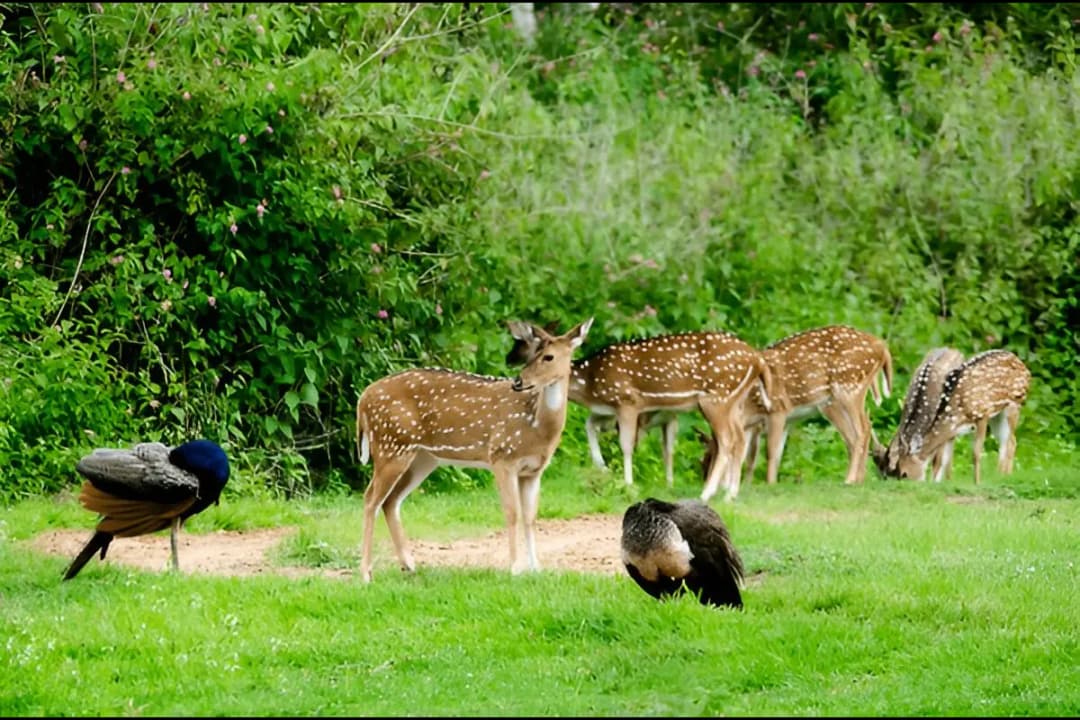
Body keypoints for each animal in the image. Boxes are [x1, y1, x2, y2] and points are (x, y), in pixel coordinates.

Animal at [354, 318, 592, 582]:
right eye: (532, 354)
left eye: (548, 356)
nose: (519, 381)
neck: (536, 427)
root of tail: (362, 399)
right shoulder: (501, 456)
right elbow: (512, 512)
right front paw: (515, 568)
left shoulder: (533, 471)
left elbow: (530, 517)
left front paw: (536, 569)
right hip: (390, 445)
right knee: (370, 499)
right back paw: (365, 574)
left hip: (421, 457)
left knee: (390, 501)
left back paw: (409, 565)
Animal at [509, 325, 774, 503]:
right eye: (534, 352)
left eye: (547, 356)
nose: (518, 380)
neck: (590, 384)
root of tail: (757, 360)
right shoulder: (608, 409)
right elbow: (589, 425)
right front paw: (602, 468)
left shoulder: (628, 401)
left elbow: (626, 444)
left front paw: (627, 484)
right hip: (734, 402)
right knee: (739, 439)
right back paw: (730, 493)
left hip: (716, 398)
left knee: (728, 441)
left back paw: (708, 493)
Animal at [698, 325, 894, 488]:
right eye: (704, 460)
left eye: (710, 458)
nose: (707, 481)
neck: (749, 406)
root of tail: (882, 347)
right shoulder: (780, 421)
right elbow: (771, 454)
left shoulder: (777, 410)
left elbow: (767, 452)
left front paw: (768, 484)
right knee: (858, 433)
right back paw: (858, 479)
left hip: (848, 388)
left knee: (862, 430)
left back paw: (850, 479)